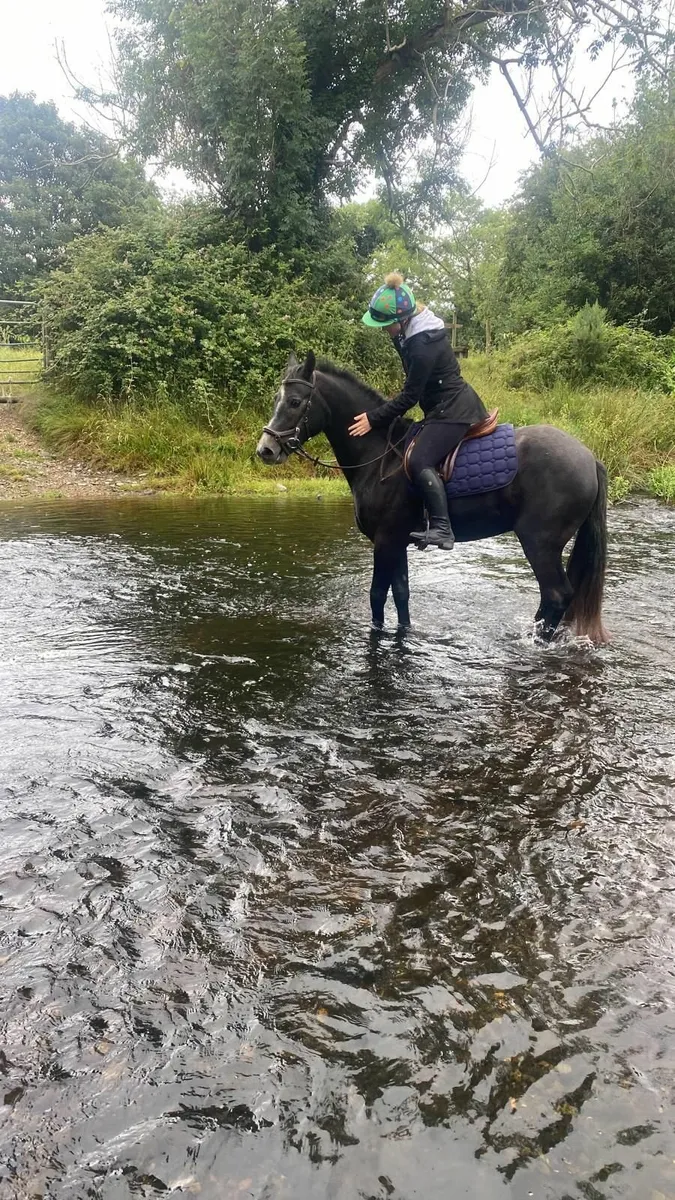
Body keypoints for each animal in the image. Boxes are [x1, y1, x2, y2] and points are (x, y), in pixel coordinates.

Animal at [256, 351, 609, 643]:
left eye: (295, 402)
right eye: (275, 398)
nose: (266, 450)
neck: (380, 454)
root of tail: (589, 457)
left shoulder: (385, 540)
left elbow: (377, 594)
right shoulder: (397, 541)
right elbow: (401, 593)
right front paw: (404, 632)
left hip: (540, 543)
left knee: (556, 595)